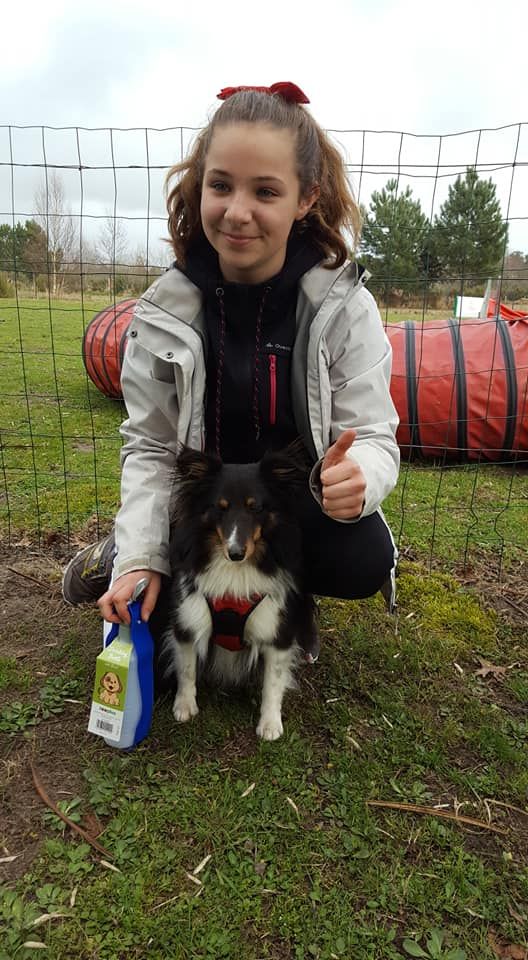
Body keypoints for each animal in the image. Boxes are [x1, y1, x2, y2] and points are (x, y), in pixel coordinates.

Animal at [155, 442, 316, 744]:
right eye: (220, 508)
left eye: (256, 508)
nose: (236, 553)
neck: (235, 573)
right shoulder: (188, 618)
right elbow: (187, 668)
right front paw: (185, 706)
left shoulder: (277, 629)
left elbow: (273, 680)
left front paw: (270, 724)